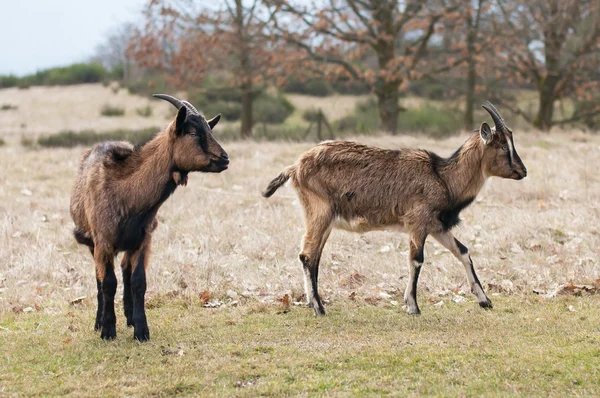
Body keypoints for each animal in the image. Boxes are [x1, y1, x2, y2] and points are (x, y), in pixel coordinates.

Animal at [70, 95, 229, 340]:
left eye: (209, 130)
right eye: (193, 133)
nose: (225, 158)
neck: (126, 192)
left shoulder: (143, 239)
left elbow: (138, 281)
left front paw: (141, 330)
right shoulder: (103, 242)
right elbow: (107, 283)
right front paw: (107, 330)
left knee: (125, 268)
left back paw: (128, 317)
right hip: (92, 243)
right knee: (99, 279)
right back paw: (99, 321)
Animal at [264, 102, 528, 318]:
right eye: (503, 146)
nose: (522, 171)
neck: (442, 177)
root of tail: (295, 167)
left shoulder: (437, 227)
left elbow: (463, 252)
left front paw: (485, 300)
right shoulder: (418, 224)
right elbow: (417, 260)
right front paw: (413, 306)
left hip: (323, 219)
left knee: (312, 255)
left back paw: (312, 303)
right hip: (320, 213)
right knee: (308, 255)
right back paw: (319, 308)